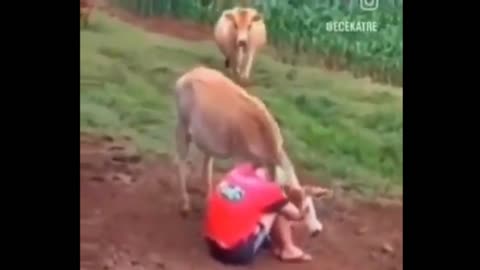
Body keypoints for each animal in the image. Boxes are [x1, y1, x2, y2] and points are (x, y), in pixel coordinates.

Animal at [172, 66, 326, 235]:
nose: (316, 231)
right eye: (302, 210)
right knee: (181, 160)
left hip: (207, 139)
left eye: (309, 206)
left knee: (206, 163)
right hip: (182, 125)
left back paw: (207, 200)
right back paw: (185, 205)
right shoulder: (241, 158)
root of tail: (189, 74)